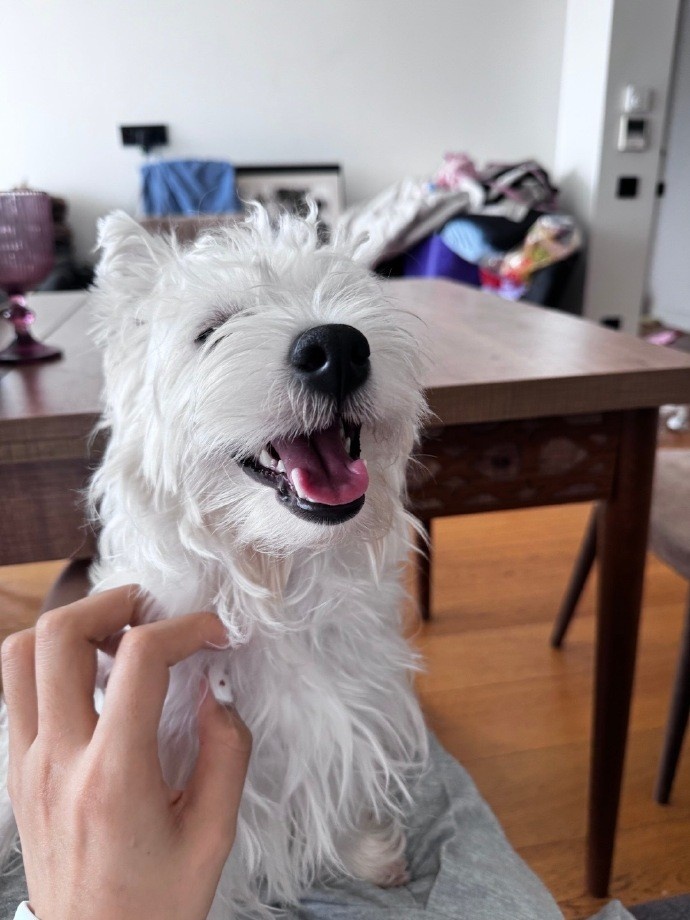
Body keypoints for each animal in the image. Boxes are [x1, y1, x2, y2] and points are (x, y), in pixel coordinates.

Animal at [0, 206, 429, 918]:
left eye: (350, 300)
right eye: (210, 331)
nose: (338, 347)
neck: (268, 581)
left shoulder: (350, 711)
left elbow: (346, 779)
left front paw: (369, 852)